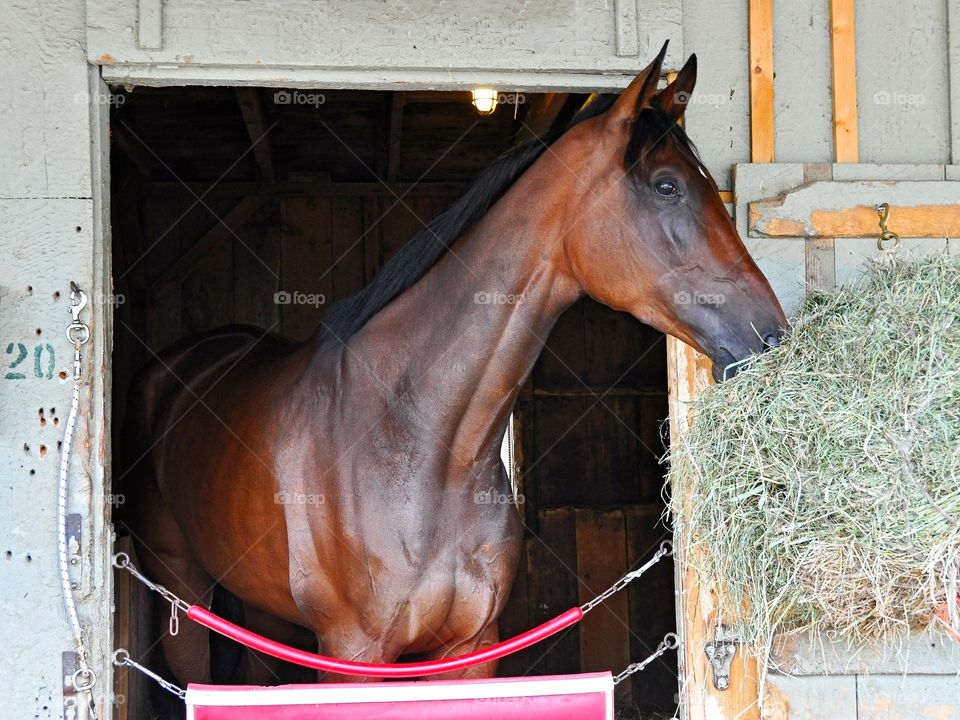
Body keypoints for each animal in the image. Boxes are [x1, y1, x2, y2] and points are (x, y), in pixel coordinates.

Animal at [125, 46, 788, 692]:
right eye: (666, 186)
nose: (772, 334)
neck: (421, 441)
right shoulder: (353, 652)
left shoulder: (472, 647)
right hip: (183, 592)